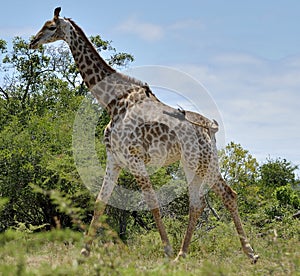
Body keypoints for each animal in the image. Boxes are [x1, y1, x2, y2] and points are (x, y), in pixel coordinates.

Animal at [31, 7, 260, 264]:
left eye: (51, 26)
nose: (32, 41)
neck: (113, 101)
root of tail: (210, 127)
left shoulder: (134, 158)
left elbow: (151, 202)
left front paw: (167, 249)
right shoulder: (114, 159)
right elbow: (100, 201)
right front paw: (83, 253)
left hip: (196, 161)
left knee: (209, 199)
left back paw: (208, 252)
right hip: (203, 161)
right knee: (214, 198)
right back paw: (205, 253)